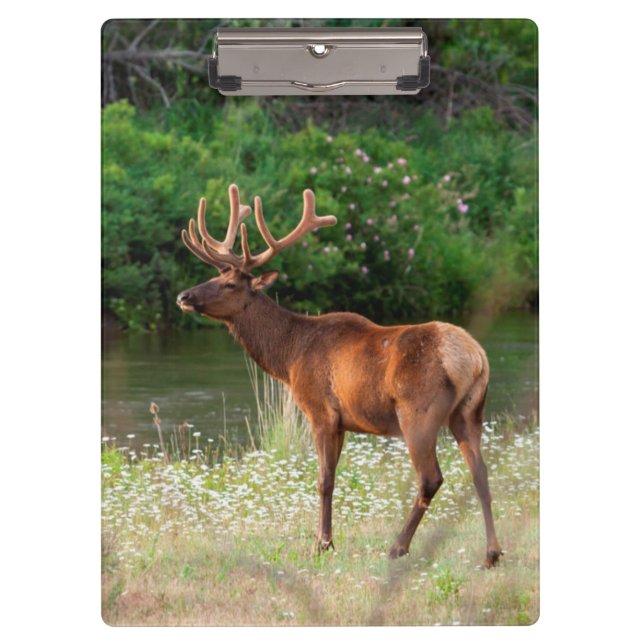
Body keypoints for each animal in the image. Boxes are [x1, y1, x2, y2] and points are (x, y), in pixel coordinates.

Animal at [176, 184, 502, 568]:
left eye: (230, 284)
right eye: (215, 276)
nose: (184, 295)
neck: (289, 357)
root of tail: (475, 357)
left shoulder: (320, 411)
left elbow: (324, 481)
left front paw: (322, 544)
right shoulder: (344, 422)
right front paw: (325, 541)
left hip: (418, 412)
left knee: (430, 478)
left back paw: (398, 547)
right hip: (470, 412)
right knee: (480, 473)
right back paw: (491, 554)